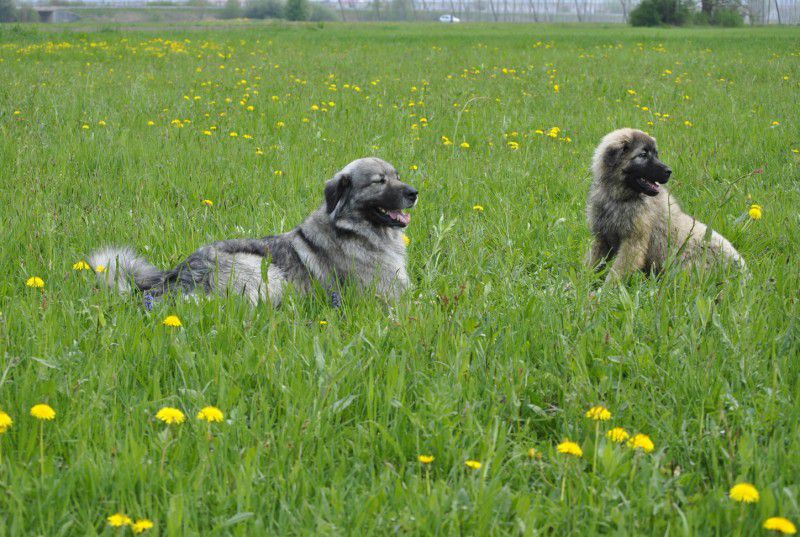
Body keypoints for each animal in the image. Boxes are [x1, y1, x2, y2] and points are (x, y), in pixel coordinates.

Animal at [89, 156, 418, 306]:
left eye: (396, 176)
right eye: (379, 181)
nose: (414, 192)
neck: (353, 228)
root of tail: (178, 274)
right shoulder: (383, 296)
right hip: (264, 272)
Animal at [584, 127, 748, 278]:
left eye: (656, 154)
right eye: (643, 155)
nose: (669, 171)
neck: (619, 198)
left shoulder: (633, 243)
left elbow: (616, 272)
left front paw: (605, 289)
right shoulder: (602, 238)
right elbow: (593, 263)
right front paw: (585, 282)